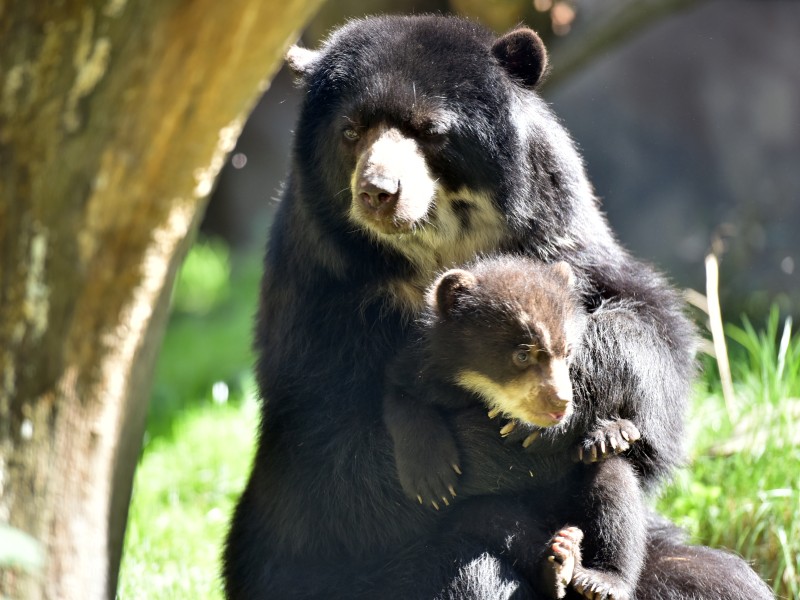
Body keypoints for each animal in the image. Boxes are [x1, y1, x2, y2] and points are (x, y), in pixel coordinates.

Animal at [222, 14, 772, 600]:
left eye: (430, 130)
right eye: (351, 132)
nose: (378, 192)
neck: (433, 251)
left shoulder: (560, 235)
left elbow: (650, 330)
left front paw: (571, 416)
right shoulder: (322, 301)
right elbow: (331, 457)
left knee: (721, 578)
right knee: (469, 567)